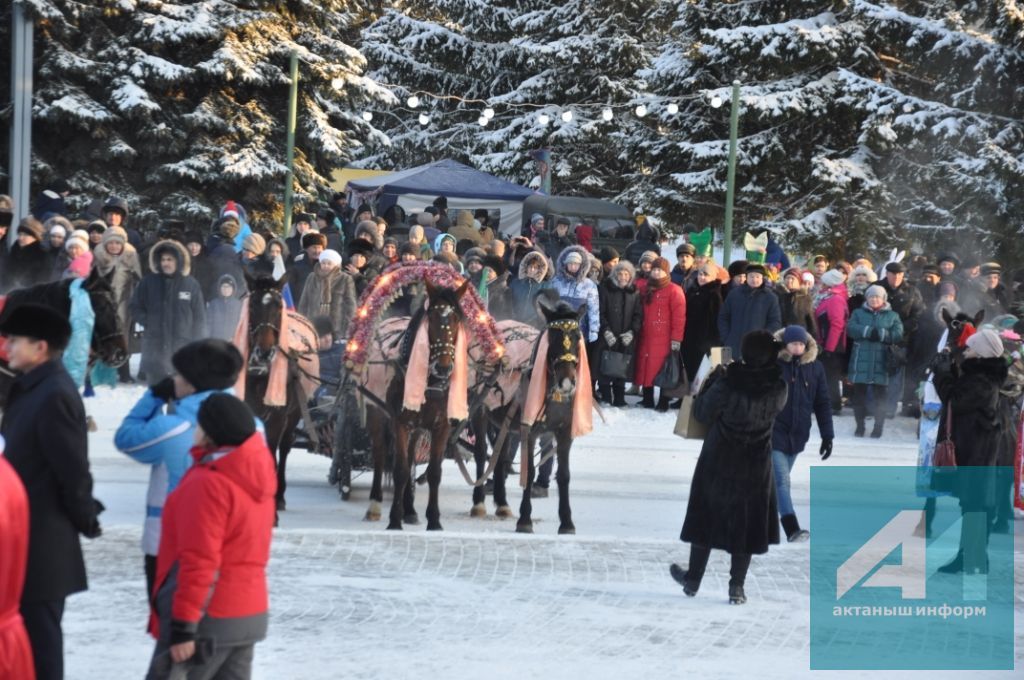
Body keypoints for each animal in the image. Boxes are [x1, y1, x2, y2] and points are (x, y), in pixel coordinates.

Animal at [240, 270, 317, 510]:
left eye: (278, 308)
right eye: (252, 305)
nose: (264, 352)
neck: (260, 374)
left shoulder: (278, 416)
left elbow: (273, 449)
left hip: (294, 413)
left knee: (284, 447)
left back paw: (280, 494)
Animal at [364, 278, 471, 532]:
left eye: (456, 319)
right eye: (431, 318)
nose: (443, 367)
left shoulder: (441, 426)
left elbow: (433, 472)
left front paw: (433, 519)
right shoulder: (400, 422)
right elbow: (401, 470)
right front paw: (394, 519)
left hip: (418, 427)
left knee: (412, 456)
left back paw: (410, 510)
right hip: (376, 411)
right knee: (380, 454)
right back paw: (375, 504)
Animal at [516, 296, 589, 536]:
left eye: (577, 337)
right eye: (554, 337)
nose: (567, 382)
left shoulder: (565, 431)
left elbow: (564, 475)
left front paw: (566, 522)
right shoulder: (528, 428)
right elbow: (528, 471)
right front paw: (524, 519)